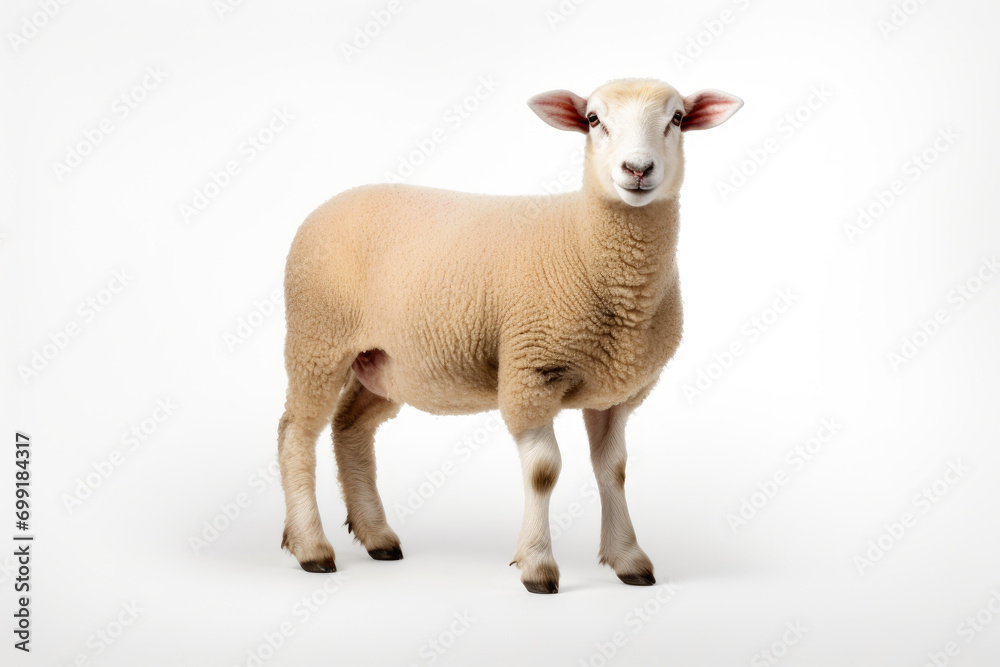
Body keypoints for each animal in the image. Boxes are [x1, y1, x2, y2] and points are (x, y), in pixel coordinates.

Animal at [277, 78, 742, 593]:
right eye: (594, 120)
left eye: (677, 118)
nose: (637, 169)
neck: (587, 247)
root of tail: (332, 201)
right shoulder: (530, 371)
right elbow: (544, 471)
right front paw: (538, 566)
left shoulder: (617, 394)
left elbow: (614, 471)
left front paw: (628, 559)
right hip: (317, 338)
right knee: (296, 433)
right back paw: (311, 547)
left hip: (384, 361)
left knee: (350, 427)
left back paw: (377, 536)